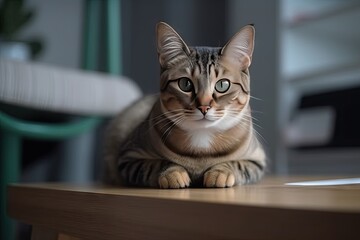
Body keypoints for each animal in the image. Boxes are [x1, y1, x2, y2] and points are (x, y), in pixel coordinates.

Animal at [102, 21, 266, 188]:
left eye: (222, 85)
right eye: (185, 84)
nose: (204, 106)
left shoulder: (257, 159)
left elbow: (238, 164)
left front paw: (221, 172)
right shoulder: (128, 156)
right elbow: (156, 163)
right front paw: (173, 173)